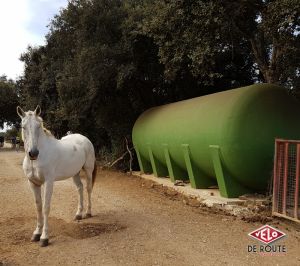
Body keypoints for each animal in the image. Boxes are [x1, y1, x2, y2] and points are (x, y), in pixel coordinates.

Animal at [16, 105, 97, 246]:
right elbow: (38, 207)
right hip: (75, 173)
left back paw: (88, 212)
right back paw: (78, 214)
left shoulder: (49, 182)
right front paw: (36, 233)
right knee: (80, 188)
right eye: (23, 126)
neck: (37, 159)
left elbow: (45, 208)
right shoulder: (33, 183)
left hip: (88, 170)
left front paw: (44, 237)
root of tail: (84, 138)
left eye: (39, 126)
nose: (33, 153)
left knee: (88, 189)